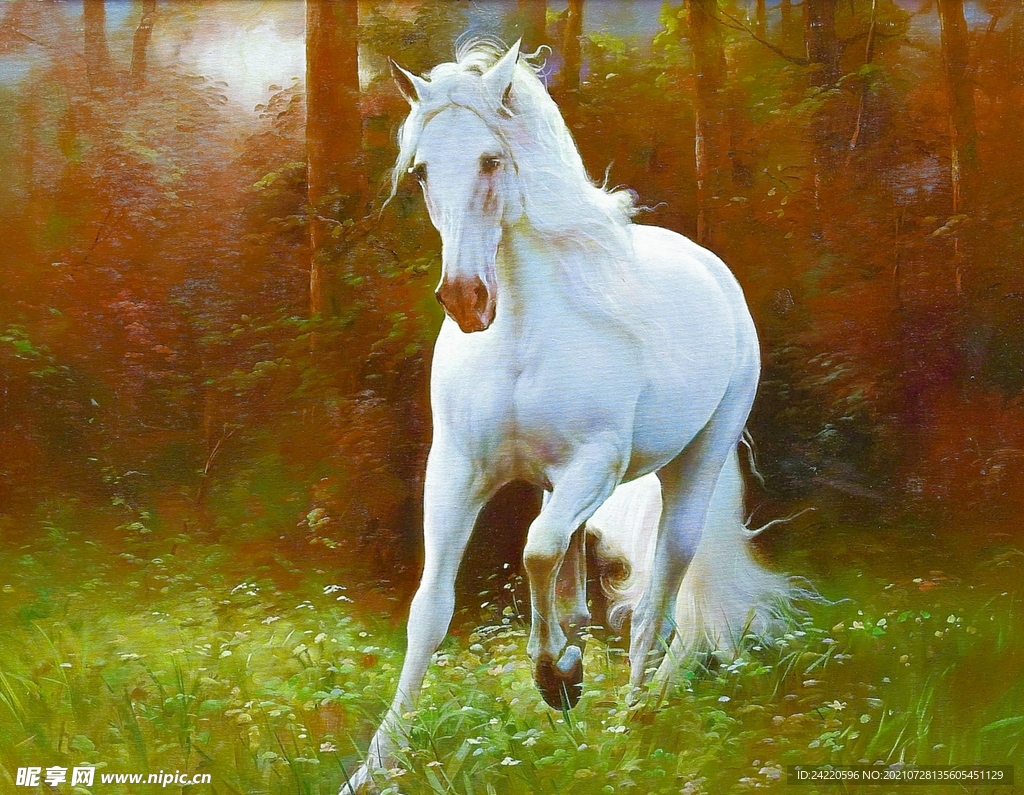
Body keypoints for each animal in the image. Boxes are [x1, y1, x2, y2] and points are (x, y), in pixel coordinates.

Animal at [340, 39, 797, 794]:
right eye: (422, 170)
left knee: (658, 604)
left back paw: (631, 729)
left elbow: (535, 551)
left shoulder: (595, 465)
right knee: (584, 593)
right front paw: (377, 763)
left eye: (491, 160)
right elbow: (430, 611)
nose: (465, 301)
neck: (522, 334)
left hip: (693, 466)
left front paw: (557, 679)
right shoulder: (456, 472)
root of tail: (713, 270)